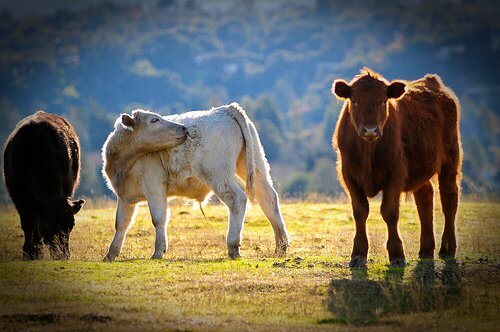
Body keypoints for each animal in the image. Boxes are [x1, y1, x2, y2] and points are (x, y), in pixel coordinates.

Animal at [2, 111, 84, 260]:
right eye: (48, 226)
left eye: (71, 225)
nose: (62, 255)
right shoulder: (19, 197)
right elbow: (28, 225)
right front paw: (30, 253)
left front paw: (35, 251)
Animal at [102, 102, 290, 260]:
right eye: (154, 120)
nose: (183, 128)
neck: (123, 161)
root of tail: (225, 109)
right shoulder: (125, 197)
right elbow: (121, 223)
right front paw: (111, 254)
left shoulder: (153, 186)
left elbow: (158, 218)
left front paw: (158, 251)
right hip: (256, 167)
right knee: (268, 198)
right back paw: (281, 246)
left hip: (218, 175)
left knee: (237, 199)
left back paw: (233, 245)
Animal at [332, 67, 460, 268]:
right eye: (355, 101)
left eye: (384, 101)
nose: (370, 130)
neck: (368, 151)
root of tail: (433, 82)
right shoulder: (349, 175)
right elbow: (360, 212)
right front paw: (358, 254)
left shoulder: (395, 173)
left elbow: (390, 212)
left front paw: (397, 254)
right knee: (425, 198)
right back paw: (426, 250)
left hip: (450, 157)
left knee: (449, 198)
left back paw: (447, 248)